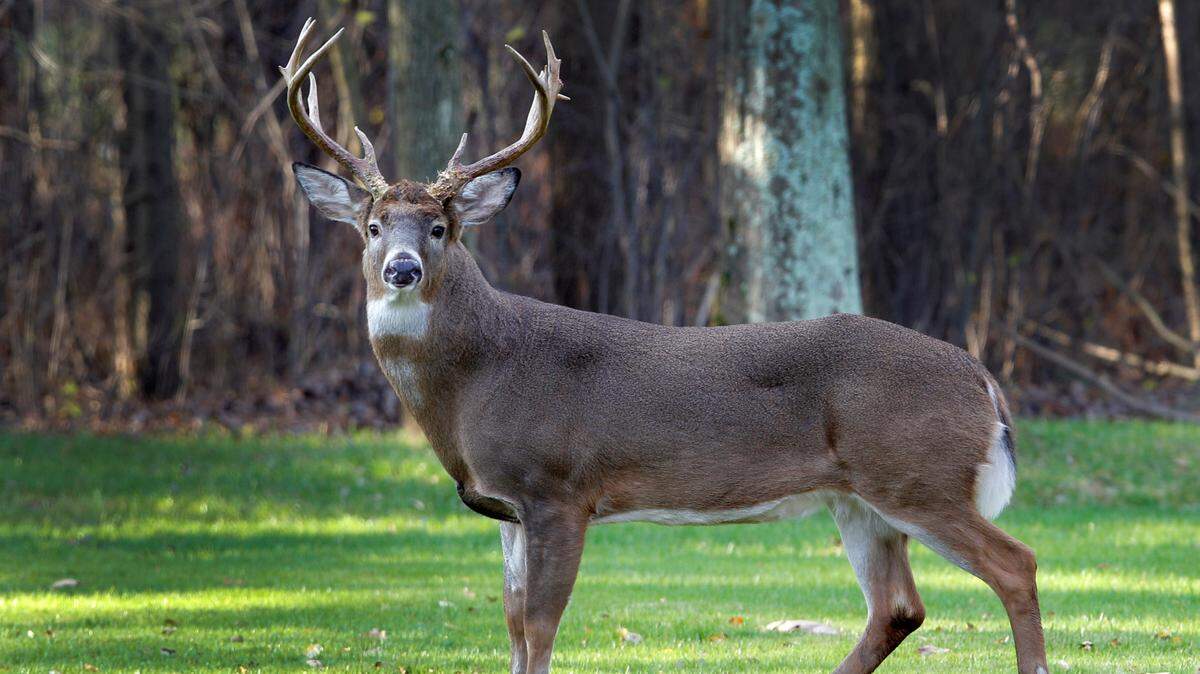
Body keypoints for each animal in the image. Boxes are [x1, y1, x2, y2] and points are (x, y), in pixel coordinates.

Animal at [279, 19, 1049, 674]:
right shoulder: (508, 508)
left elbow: (540, 627)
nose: (402, 269)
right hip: (859, 499)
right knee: (897, 607)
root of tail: (983, 379)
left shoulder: (560, 489)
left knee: (1016, 565)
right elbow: (511, 624)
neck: (477, 379)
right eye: (373, 226)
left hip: (918, 475)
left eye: (440, 228)